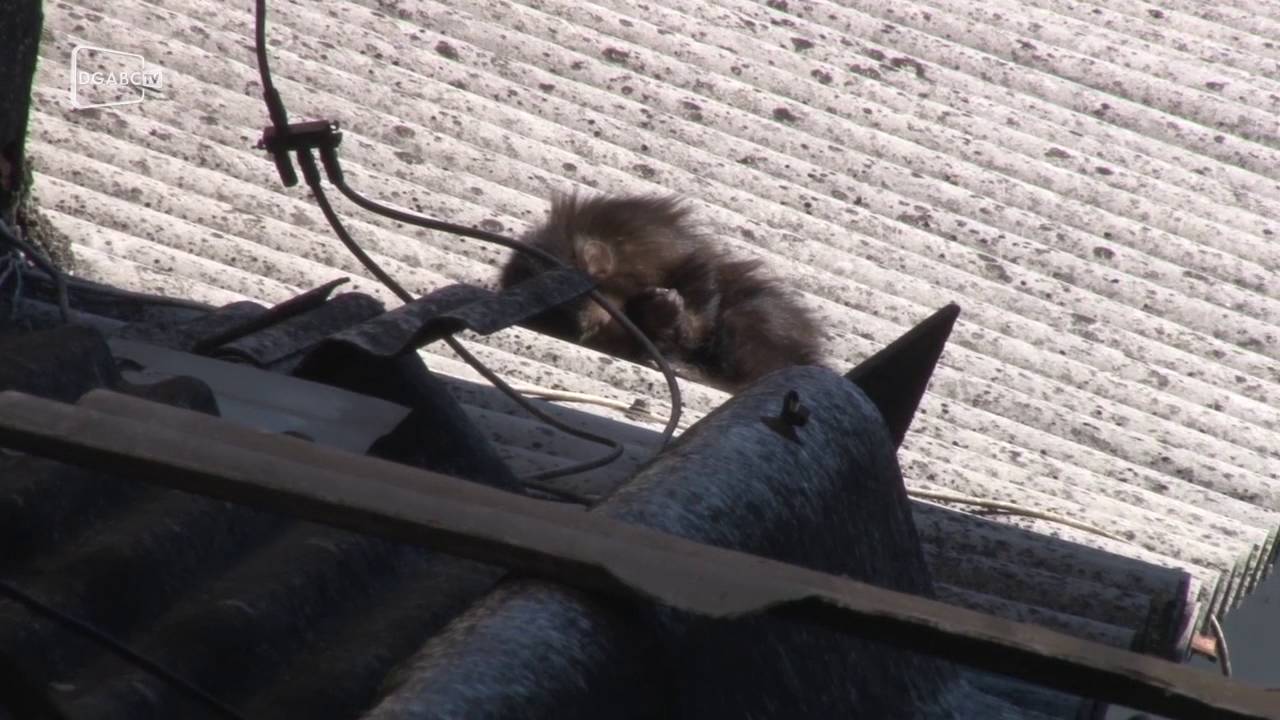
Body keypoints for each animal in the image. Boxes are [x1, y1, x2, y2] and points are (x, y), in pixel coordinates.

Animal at [498, 193, 823, 391]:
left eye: (599, 318)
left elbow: (697, 266)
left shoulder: (645, 236)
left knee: (742, 319)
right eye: (592, 329)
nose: (587, 329)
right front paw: (657, 317)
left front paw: (684, 325)